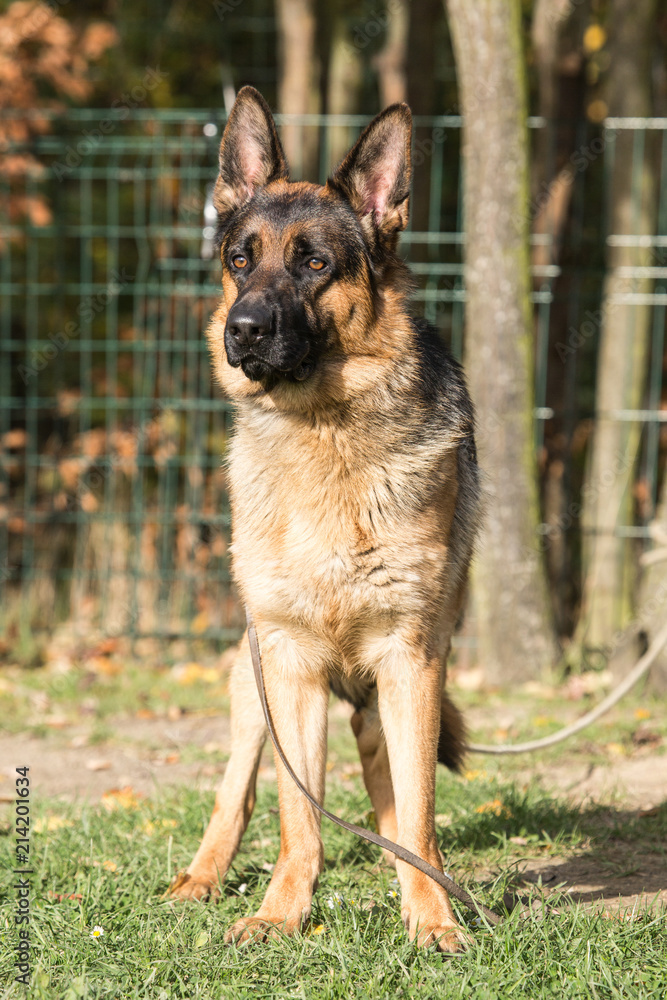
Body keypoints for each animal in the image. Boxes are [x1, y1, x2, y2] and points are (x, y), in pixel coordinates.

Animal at [170, 88, 482, 952]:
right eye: (240, 260)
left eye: (314, 264)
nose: (242, 330)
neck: (323, 434)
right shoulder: (290, 664)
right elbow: (295, 815)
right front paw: (283, 912)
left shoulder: (409, 662)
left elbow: (417, 811)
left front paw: (431, 915)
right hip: (252, 684)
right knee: (236, 791)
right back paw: (199, 878)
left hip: (382, 699)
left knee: (393, 796)